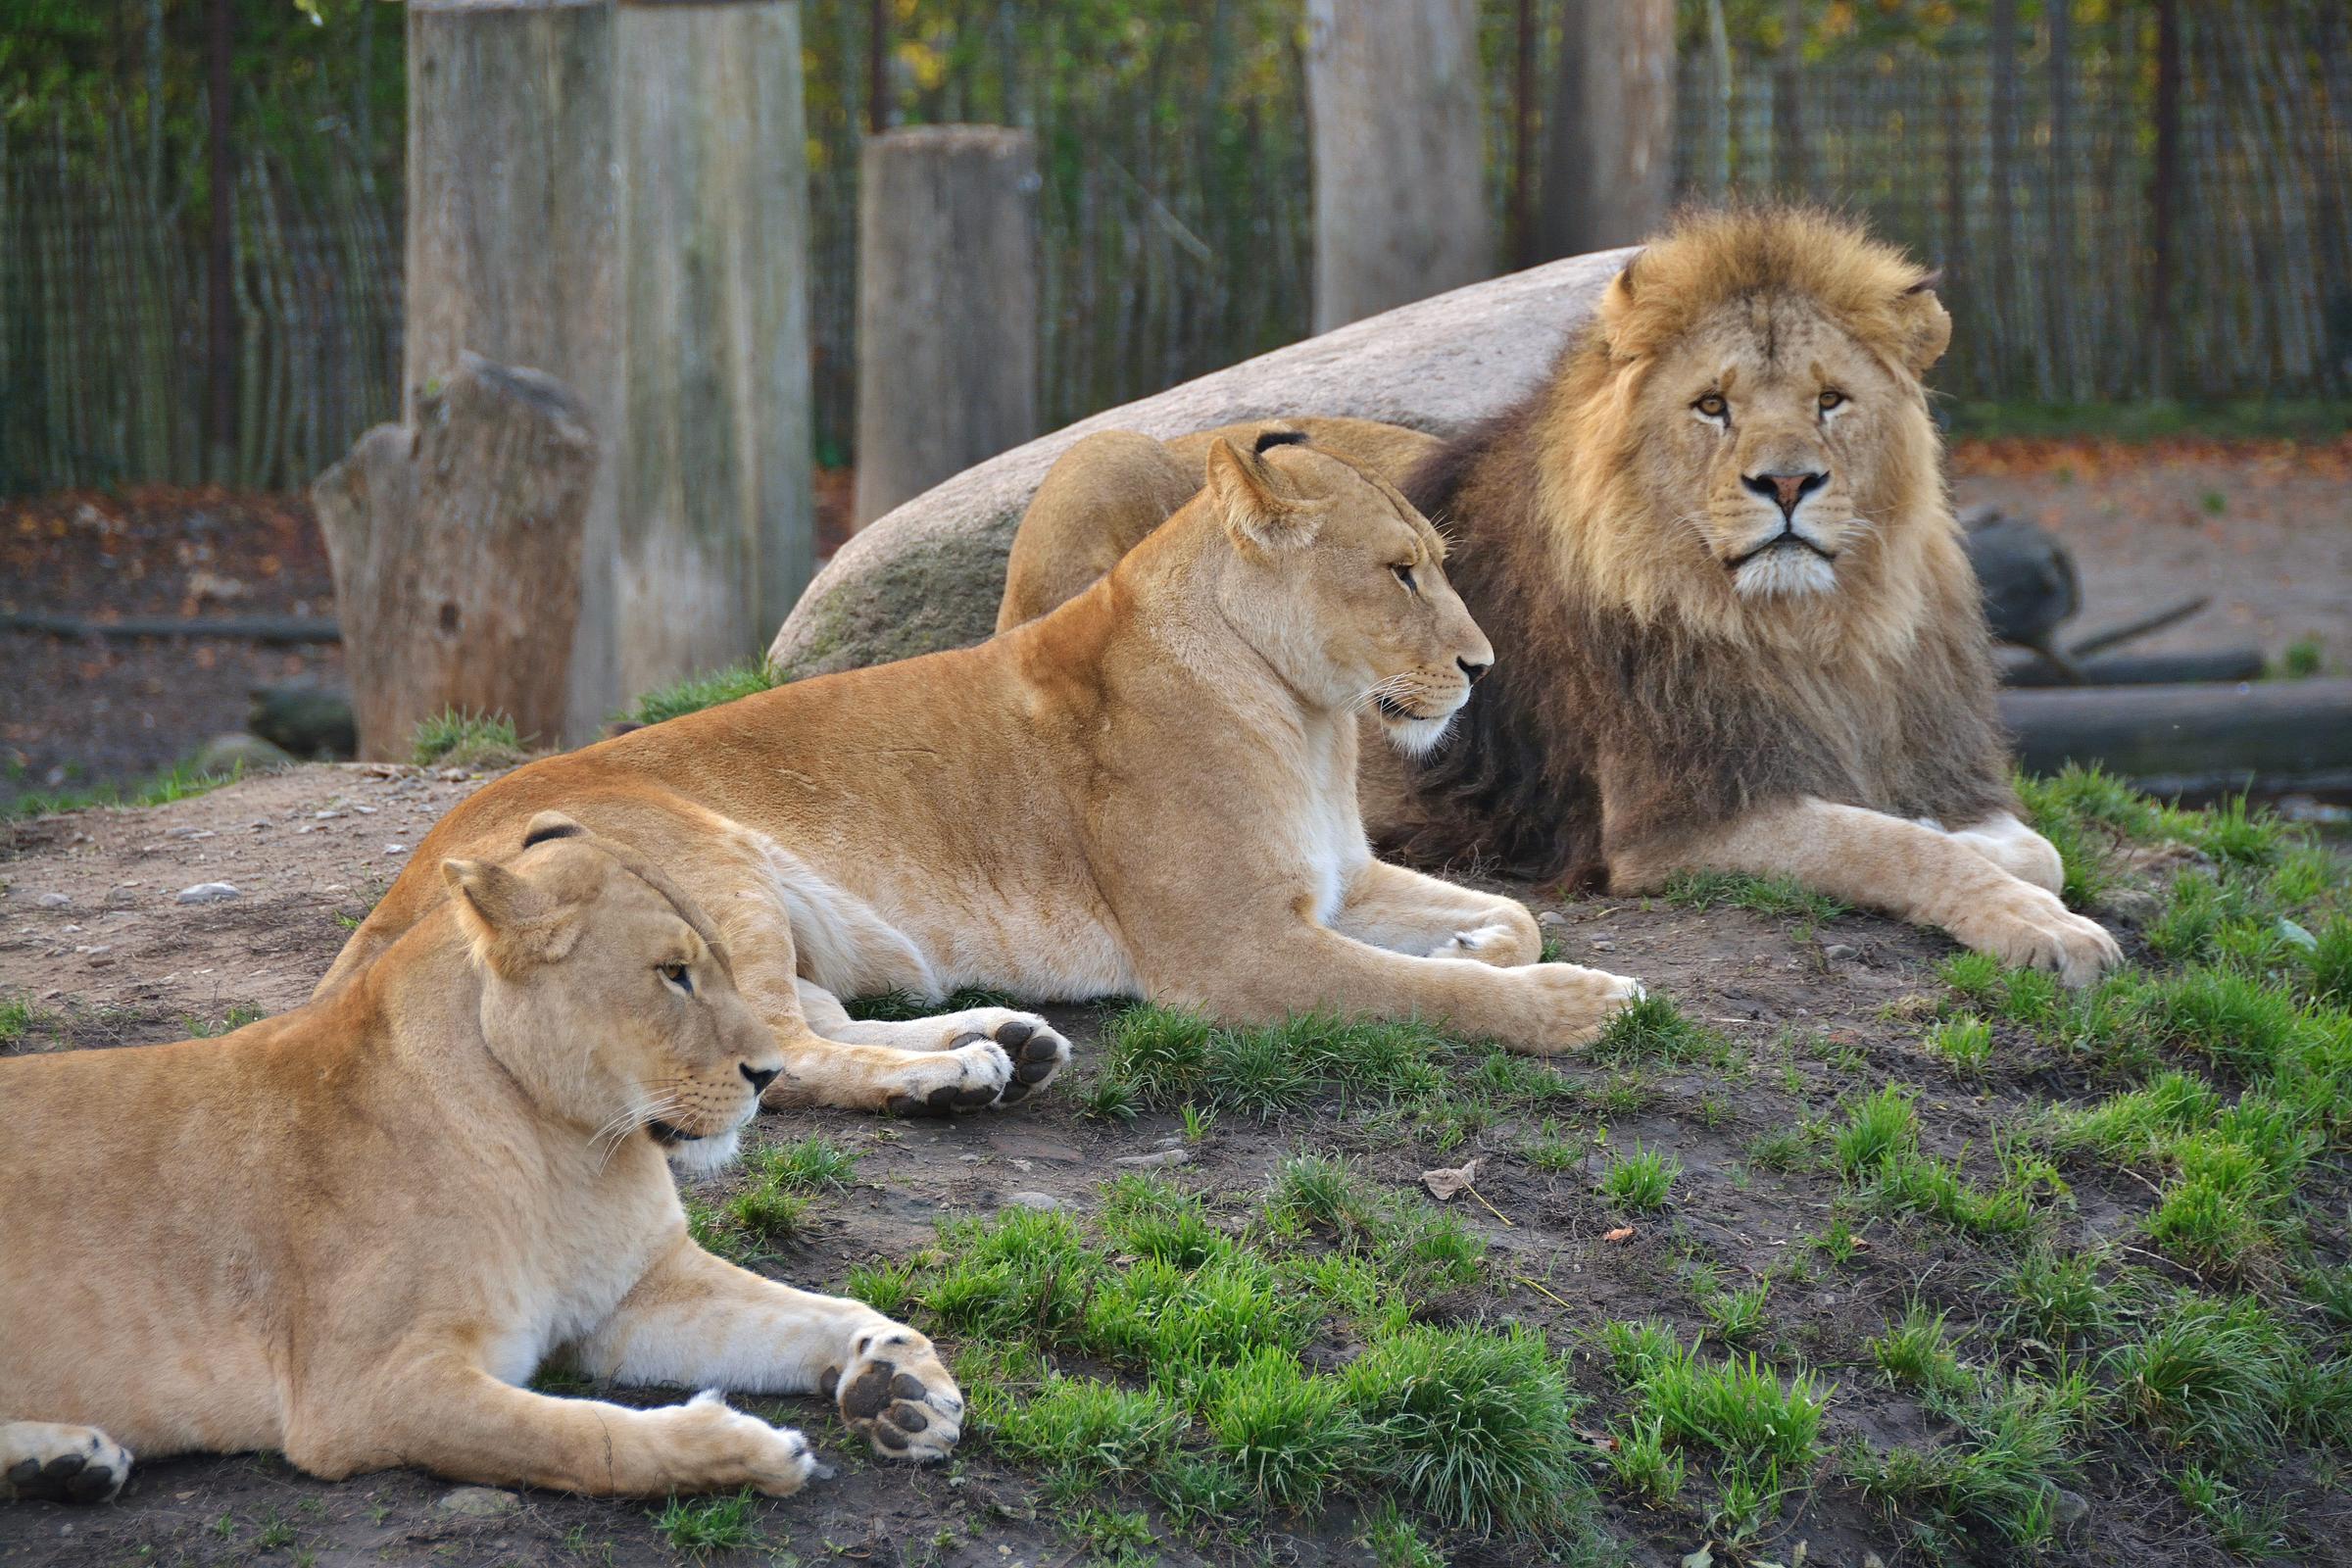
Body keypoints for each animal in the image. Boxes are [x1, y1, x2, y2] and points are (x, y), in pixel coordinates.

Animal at [0, 816, 962, 1505]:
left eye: (723, 963)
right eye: (672, 973)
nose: (769, 1074)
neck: (570, 1154)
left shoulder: (636, 1294)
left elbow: (811, 1309)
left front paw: (898, 1378)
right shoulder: (362, 1392)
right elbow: (583, 1437)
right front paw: (735, 1448)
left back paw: (62, 1464)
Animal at [317, 434, 1644, 1091]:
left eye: (1440, 563)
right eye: (1399, 572)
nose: (1480, 667)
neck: (1309, 721)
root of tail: (405, 885)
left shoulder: (1341, 883)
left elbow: (1508, 918)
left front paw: (1479, 944)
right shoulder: (1234, 953)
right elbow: (1429, 995)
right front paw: (1577, 1005)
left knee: (803, 1016)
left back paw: (1006, 1041)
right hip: (702, 855)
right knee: (777, 1056)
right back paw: (948, 1079)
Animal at [999, 208, 2120, 985]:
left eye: (1831, 401)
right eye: (1712, 407)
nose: (1788, 484)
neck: (1809, 632)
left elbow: (2029, 849)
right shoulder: (1678, 821)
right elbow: (1900, 847)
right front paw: (2048, 933)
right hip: (1099, 456)